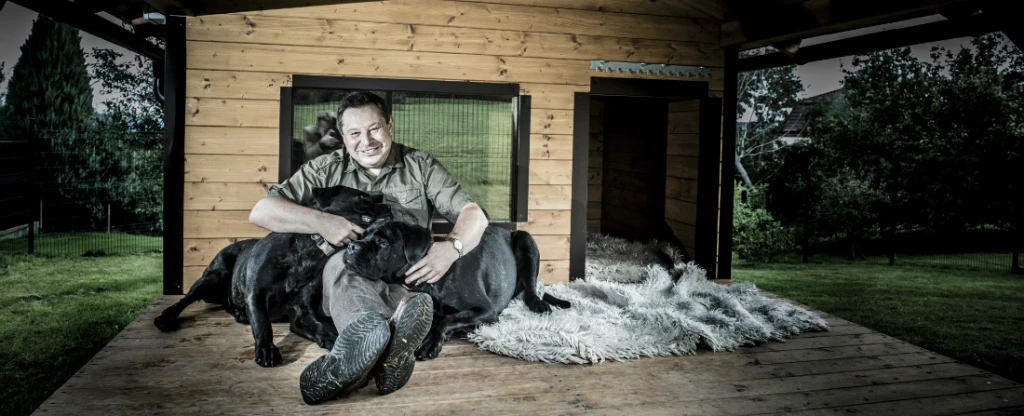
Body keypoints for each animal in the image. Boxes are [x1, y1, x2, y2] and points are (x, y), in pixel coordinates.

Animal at [155, 186, 391, 364]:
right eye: (362, 196)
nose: (388, 204)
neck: (311, 248)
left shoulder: (300, 311)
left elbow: (318, 327)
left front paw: (334, 339)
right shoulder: (256, 295)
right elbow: (262, 324)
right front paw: (266, 349)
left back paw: (240, 314)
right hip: (212, 277)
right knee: (186, 299)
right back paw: (166, 317)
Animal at [344, 221, 569, 360]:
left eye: (382, 242)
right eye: (362, 235)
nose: (351, 246)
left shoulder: (486, 311)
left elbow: (447, 319)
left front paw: (431, 344)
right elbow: (437, 319)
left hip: (526, 239)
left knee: (531, 288)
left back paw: (538, 304)